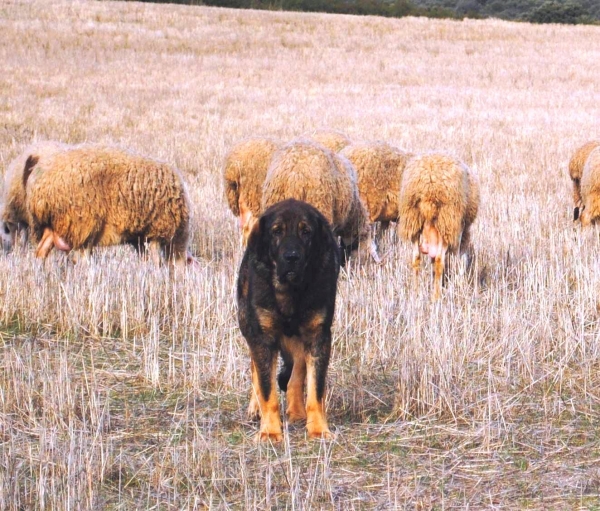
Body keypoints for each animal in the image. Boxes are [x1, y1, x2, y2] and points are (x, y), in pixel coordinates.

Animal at [23, 144, 191, 264]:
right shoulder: (156, 231)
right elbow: (156, 261)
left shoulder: (141, 238)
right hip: (83, 223)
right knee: (80, 258)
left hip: (54, 225)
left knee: (41, 251)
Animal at [239, 198, 342, 442]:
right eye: (276, 231)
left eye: (306, 232)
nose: (292, 257)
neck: (291, 292)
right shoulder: (263, 338)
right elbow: (267, 390)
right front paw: (269, 431)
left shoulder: (318, 336)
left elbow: (315, 389)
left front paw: (318, 429)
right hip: (247, 325)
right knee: (256, 371)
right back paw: (255, 408)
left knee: (296, 372)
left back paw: (296, 410)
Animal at [398, 154, 478, 302]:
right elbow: (457, 260)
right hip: (446, 221)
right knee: (440, 260)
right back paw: (436, 297)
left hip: (412, 220)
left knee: (416, 258)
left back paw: (415, 293)